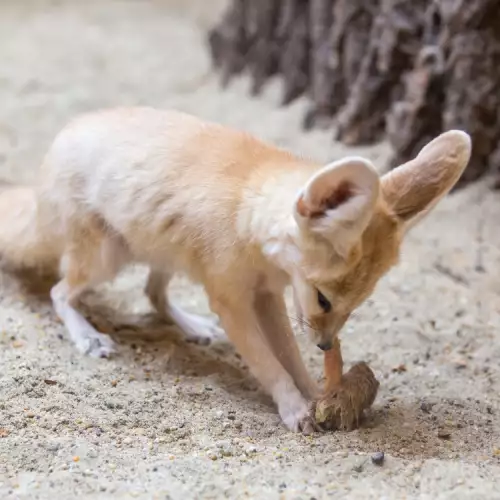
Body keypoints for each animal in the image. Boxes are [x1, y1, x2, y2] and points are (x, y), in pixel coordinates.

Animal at [0, 107, 468, 432]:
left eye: (356, 305)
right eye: (323, 298)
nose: (325, 346)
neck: (249, 213)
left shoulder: (269, 297)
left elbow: (289, 355)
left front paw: (317, 393)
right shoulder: (232, 301)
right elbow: (269, 363)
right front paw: (294, 407)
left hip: (167, 253)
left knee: (153, 293)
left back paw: (190, 325)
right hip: (106, 257)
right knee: (60, 292)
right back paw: (88, 335)